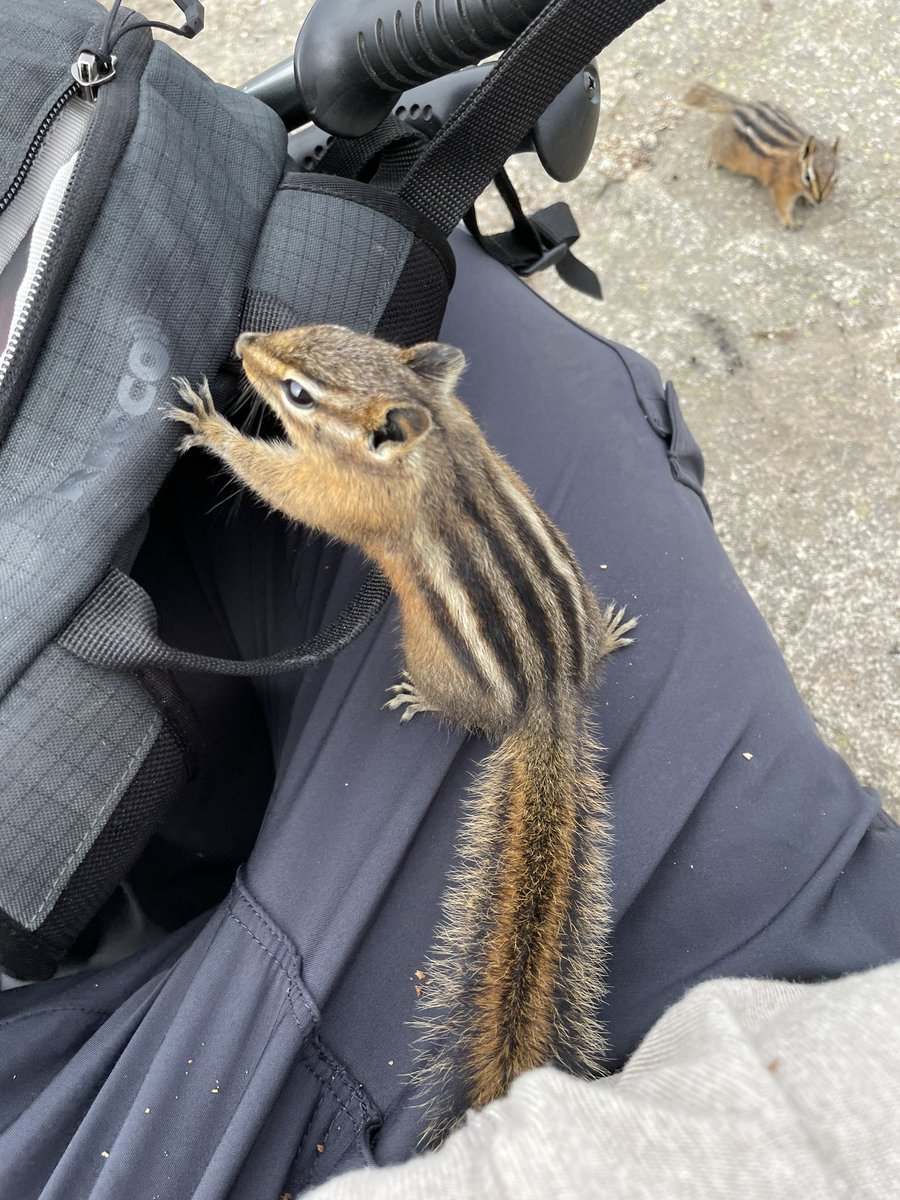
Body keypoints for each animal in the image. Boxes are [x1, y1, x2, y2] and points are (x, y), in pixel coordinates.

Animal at [169, 324, 635, 1139]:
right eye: (341, 333)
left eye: (299, 394)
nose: (246, 340)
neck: (433, 439)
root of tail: (549, 697)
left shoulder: (340, 495)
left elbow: (279, 485)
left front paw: (212, 427)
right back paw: (606, 634)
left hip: (434, 657)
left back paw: (420, 698)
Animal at [684, 82, 839, 227]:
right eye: (807, 177)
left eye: (835, 178)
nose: (820, 200)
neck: (794, 165)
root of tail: (740, 106)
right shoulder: (781, 185)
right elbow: (782, 204)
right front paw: (790, 222)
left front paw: (807, 201)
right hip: (729, 152)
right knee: (716, 138)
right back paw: (713, 160)